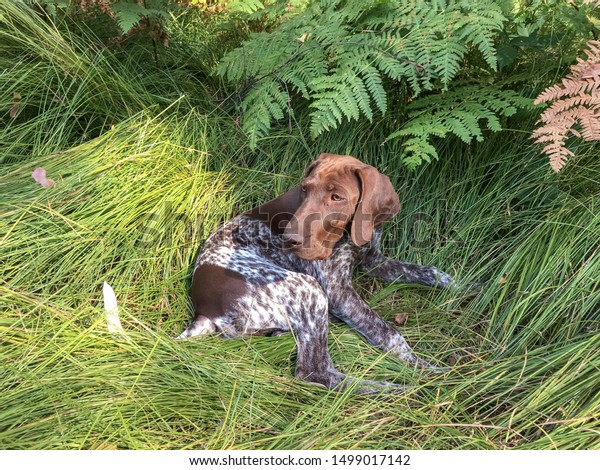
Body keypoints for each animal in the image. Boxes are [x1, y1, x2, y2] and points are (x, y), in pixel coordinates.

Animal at [180, 154, 452, 392]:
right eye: (305, 189)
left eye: (336, 196)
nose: (289, 239)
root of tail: (204, 311)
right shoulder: (338, 291)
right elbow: (388, 331)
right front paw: (426, 371)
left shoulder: (373, 261)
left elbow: (426, 271)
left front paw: (457, 285)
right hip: (308, 288)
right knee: (315, 373)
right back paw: (395, 390)